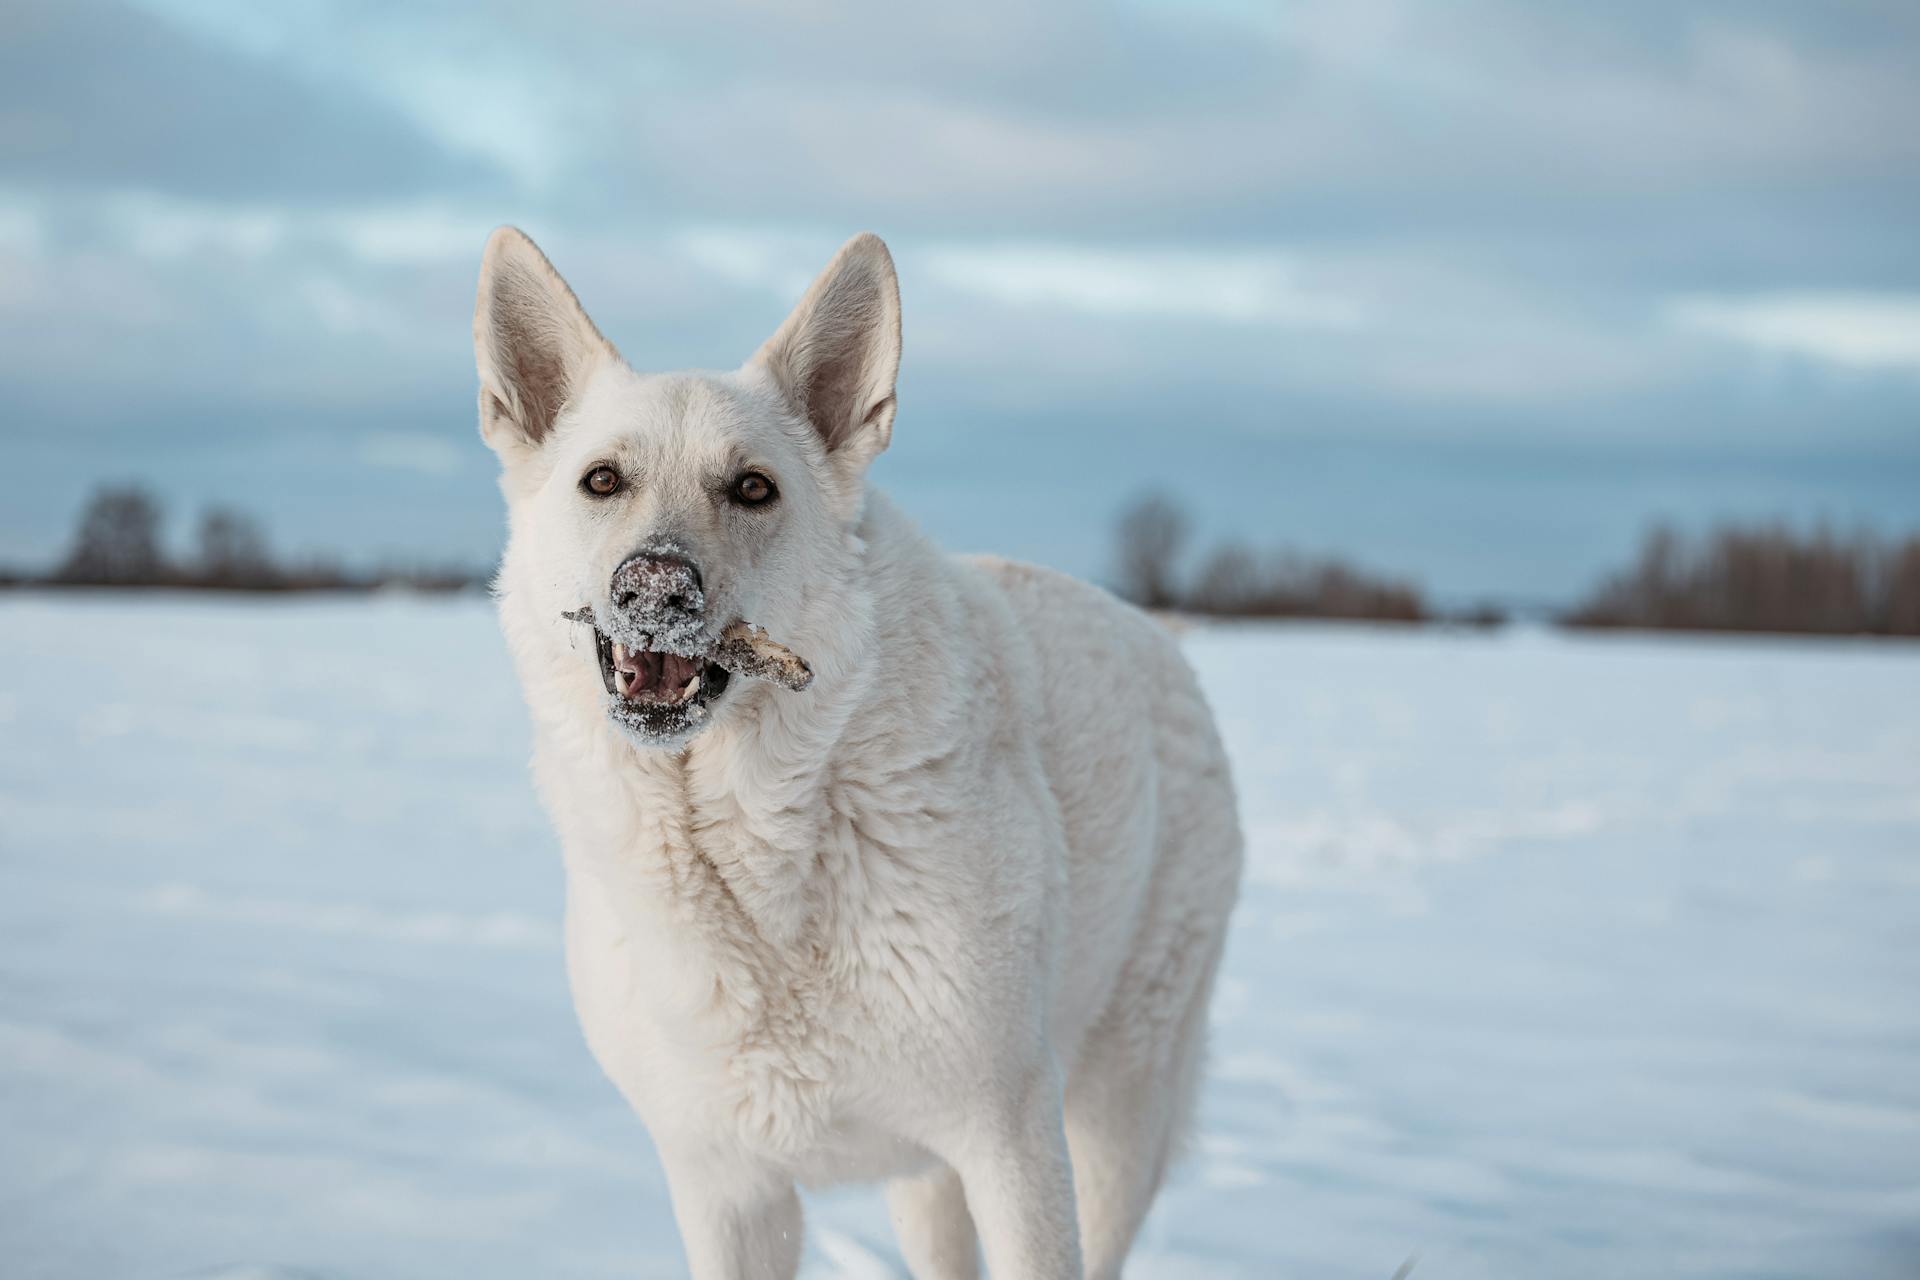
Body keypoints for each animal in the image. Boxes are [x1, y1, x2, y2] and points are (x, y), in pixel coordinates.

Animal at [472, 230, 1236, 1280]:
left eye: (754, 488)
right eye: (602, 481)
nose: (655, 587)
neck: (760, 849)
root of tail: (1156, 636)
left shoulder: (1011, 1136)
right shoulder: (726, 1187)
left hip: (1118, 1114)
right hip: (928, 1181)